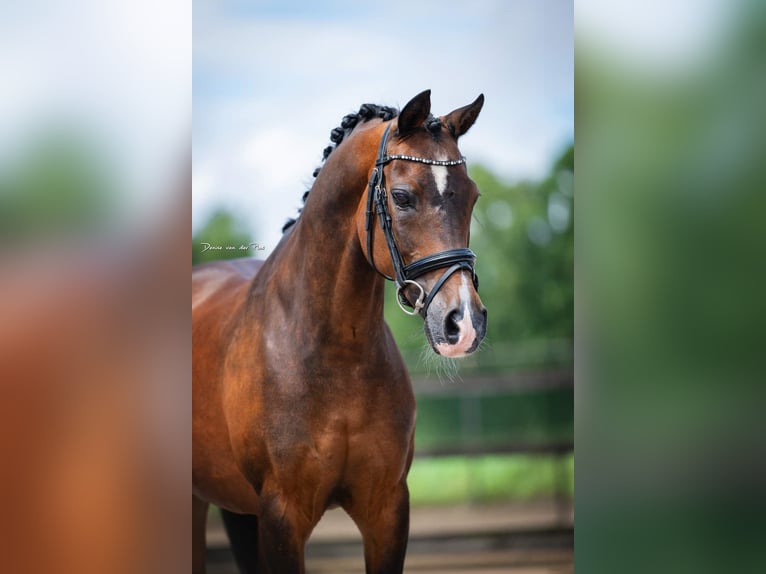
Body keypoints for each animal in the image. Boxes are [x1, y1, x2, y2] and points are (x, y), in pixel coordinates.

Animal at [195, 91, 488, 574]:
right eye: (402, 197)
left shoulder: (386, 508)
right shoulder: (282, 516)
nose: (464, 323)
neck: (335, 355)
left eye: (472, 197)